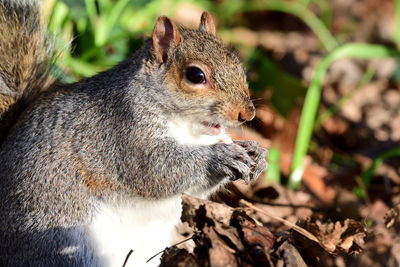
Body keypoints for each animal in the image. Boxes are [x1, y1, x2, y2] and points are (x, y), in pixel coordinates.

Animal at [0, 1, 268, 266]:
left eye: (238, 65)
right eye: (195, 75)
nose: (247, 114)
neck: (187, 132)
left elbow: (192, 190)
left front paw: (256, 152)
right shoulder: (121, 132)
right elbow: (156, 171)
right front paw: (221, 156)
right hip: (63, 243)